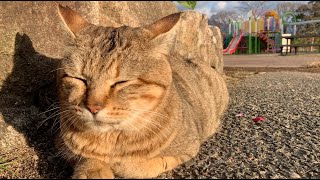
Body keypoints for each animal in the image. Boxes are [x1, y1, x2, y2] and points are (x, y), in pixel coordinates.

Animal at [55, 3, 230, 179]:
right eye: (79, 79)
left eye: (122, 82)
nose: (92, 107)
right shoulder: (66, 146)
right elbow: (86, 157)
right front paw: (93, 169)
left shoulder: (188, 149)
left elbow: (142, 166)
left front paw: (121, 165)